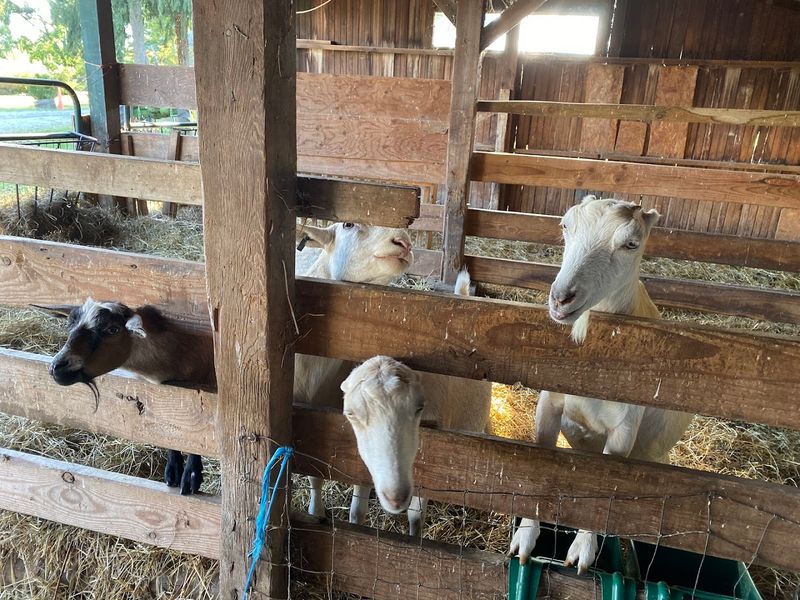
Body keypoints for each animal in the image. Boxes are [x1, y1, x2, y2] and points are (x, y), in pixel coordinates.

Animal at [44, 299, 214, 495]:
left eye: (113, 329)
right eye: (69, 326)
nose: (57, 367)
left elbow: (197, 436)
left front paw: (191, 477)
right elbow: (169, 431)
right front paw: (173, 471)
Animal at [509, 195, 693, 573]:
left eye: (631, 244)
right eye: (565, 225)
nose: (561, 298)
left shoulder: (624, 428)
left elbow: (605, 484)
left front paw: (582, 551)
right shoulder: (550, 402)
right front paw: (524, 539)